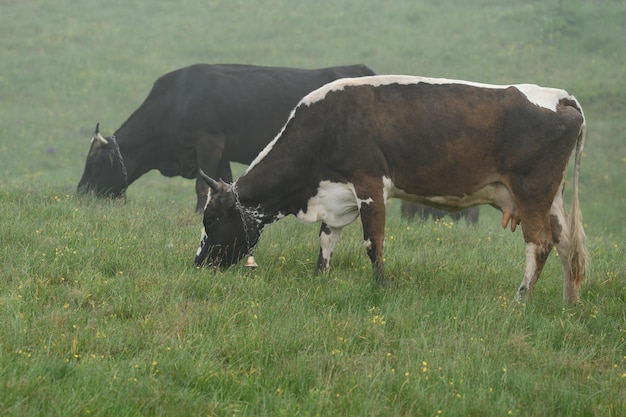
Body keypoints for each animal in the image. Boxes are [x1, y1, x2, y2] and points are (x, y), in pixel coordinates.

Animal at [75, 61, 372, 211]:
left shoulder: (208, 142)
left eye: (94, 164)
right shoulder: (222, 152)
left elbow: (201, 184)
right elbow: (223, 182)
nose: (80, 194)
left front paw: (198, 212)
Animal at [195, 74, 584, 302]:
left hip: (532, 191)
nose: (198, 264)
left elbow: (373, 242)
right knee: (566, 245)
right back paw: (570, 302)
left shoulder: (369, 184)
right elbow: (326, 239)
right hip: (552, 198)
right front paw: (320, 278)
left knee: (540, 244)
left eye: (210, 220)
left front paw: (381, 288)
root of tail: (559, 95)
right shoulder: (336, 193)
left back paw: (521, 298)